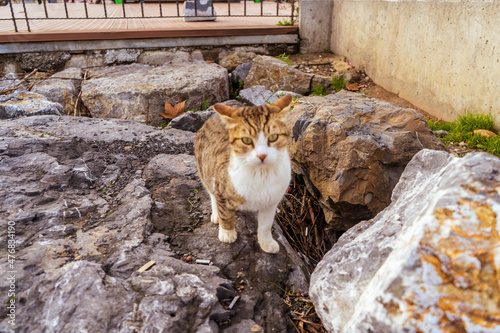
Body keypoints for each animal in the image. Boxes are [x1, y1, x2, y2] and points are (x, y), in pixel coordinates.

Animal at [192, 94, 292, 253]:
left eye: (273, 137)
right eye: (246, 140)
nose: (262, 155)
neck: (261, 174)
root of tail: (212, 118)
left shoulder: (271, 201)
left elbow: (266, 224)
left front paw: (266, 242)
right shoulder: (221, 185)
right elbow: (225, 214)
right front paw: (227, 232)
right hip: (205, 169)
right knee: (211, 192)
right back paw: (216, 214)